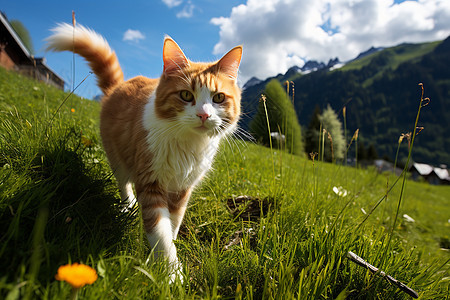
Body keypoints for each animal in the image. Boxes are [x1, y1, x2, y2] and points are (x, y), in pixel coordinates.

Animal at [45, 23, 243, 282]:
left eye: (218, 97)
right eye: (186, 95)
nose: (203, 115)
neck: (188, 144)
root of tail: (118, 86)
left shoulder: (182, 189)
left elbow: (173, 225)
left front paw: (170, 252)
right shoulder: (150, 180)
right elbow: (160, 232)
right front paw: (171, 273)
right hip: (118, 160)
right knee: (124, 184)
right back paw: (128, 204)